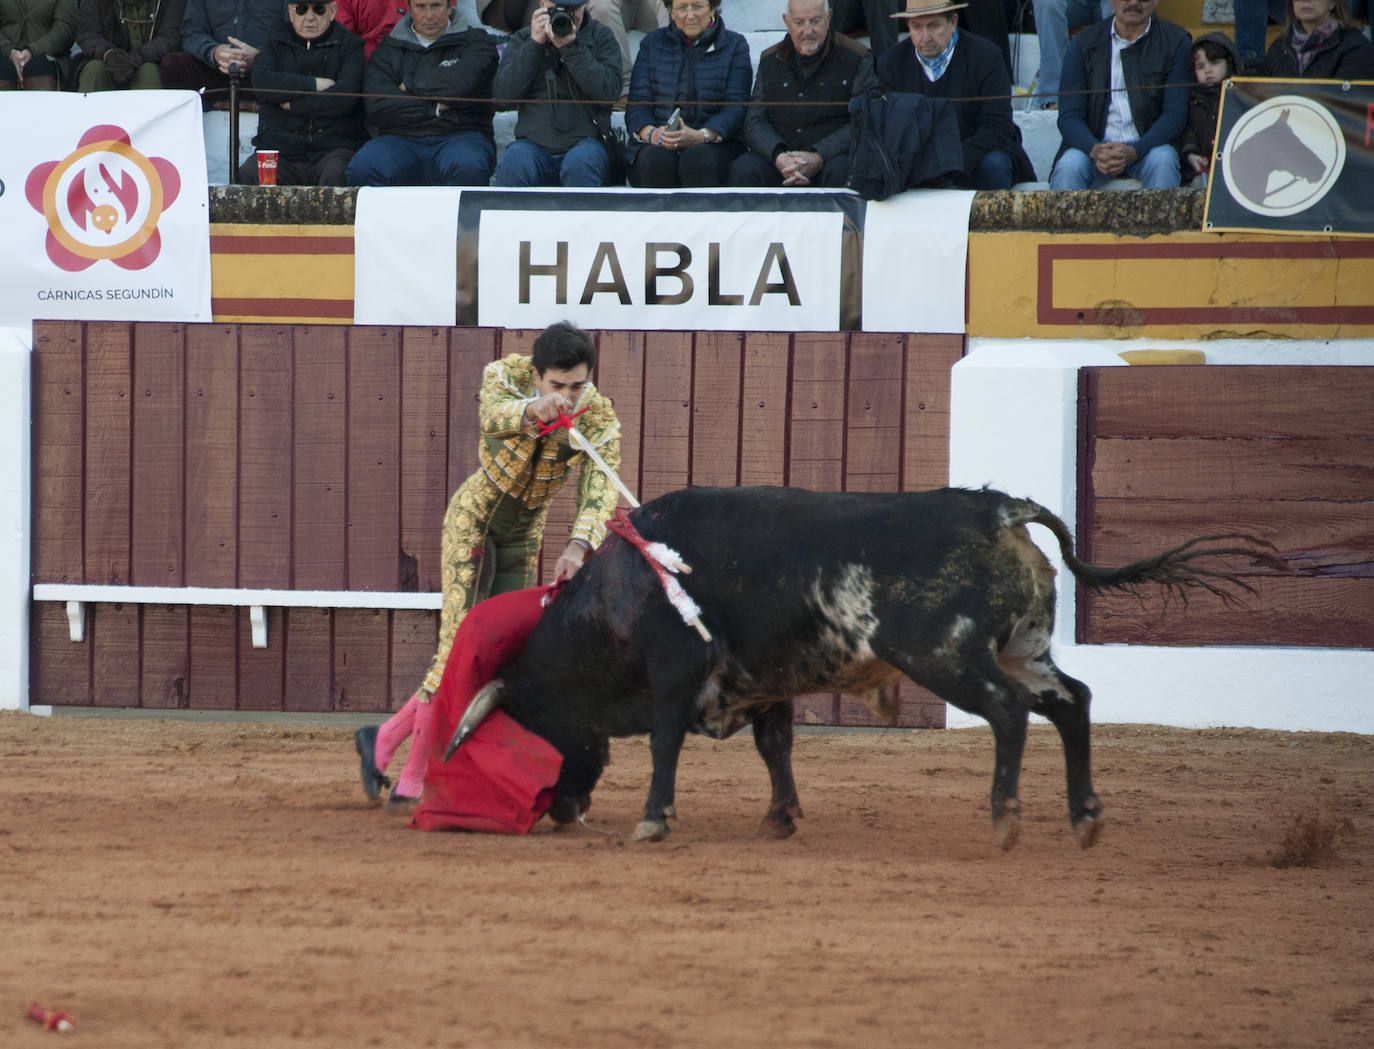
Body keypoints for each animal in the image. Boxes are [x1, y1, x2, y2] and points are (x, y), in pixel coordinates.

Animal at [445, 489, 1269, 846]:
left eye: (533, 727)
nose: (560, 810)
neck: (621, 590)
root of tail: (999, 509)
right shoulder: (767, 682)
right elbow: (775, 746)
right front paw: (779, 818)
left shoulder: (676, 671)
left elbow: (665, 742)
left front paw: (654, 819)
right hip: (1023, 648)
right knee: (1072, 701)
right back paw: (1085, 815)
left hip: (946, 655)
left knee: (1009, 711)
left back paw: (1006, 818)